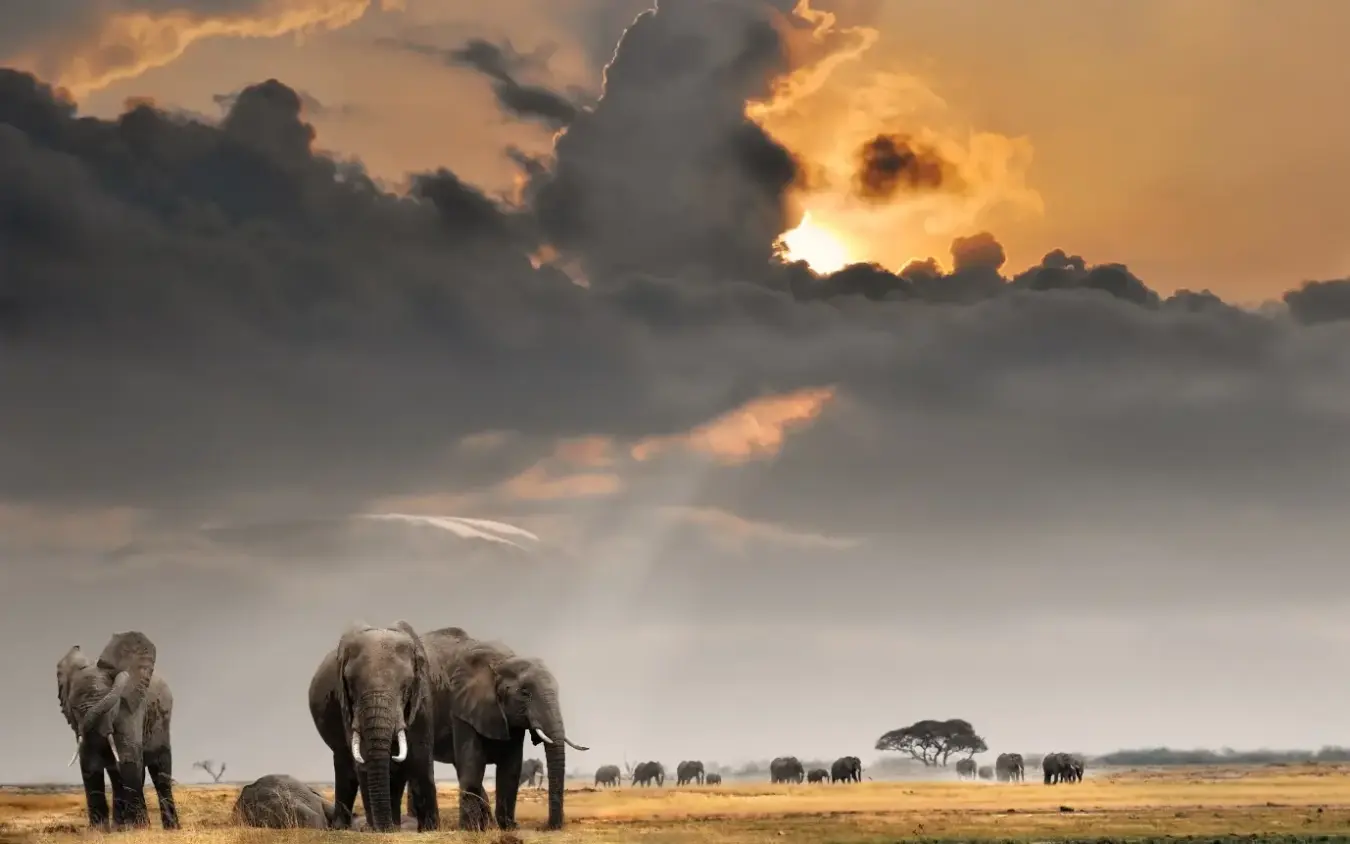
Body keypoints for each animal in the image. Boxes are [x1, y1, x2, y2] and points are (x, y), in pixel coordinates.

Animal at [56, 631, 179, 831]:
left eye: (112, 706)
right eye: (74, 709)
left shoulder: (130, 709)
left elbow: (129, 758)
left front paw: (138, 829)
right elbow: (89, 764)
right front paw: (99, 831)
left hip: (162, 721)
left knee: (160, 772)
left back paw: (170, 828)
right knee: (117, 776)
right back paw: (120, 827)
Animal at [308, 621, 439, 832]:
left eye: (406, 686)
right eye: (351, 684)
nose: (385, 827)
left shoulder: (422, 700)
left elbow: (420, 756)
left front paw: (430, 830)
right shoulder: (347, 706)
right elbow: (363, 759)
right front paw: (377, 831)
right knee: (344, 766)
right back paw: (341, 828)